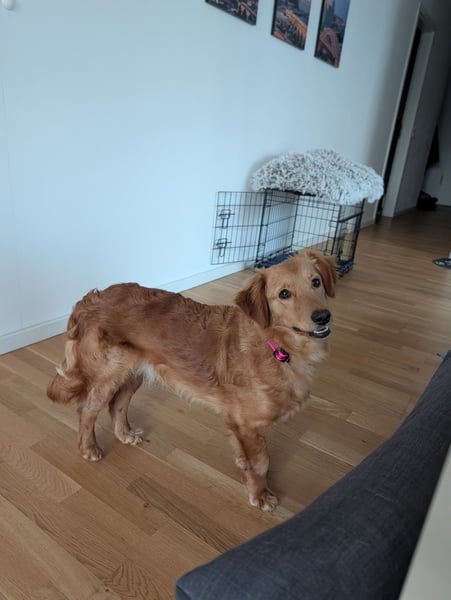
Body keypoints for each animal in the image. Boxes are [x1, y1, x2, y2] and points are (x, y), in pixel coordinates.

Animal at [47, 250, 337, 511]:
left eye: (316, 282)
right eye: (284, 294)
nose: (323, 316)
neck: (277, 346)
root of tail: (88, 299)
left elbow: (249, 457)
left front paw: (245, 470)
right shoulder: (249, 425)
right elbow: (261, 462)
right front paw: (260, 494)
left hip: (133, 372)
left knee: (117, 404)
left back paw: (124, 434)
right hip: (109, 373)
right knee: (88, 410)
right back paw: (89, 449)